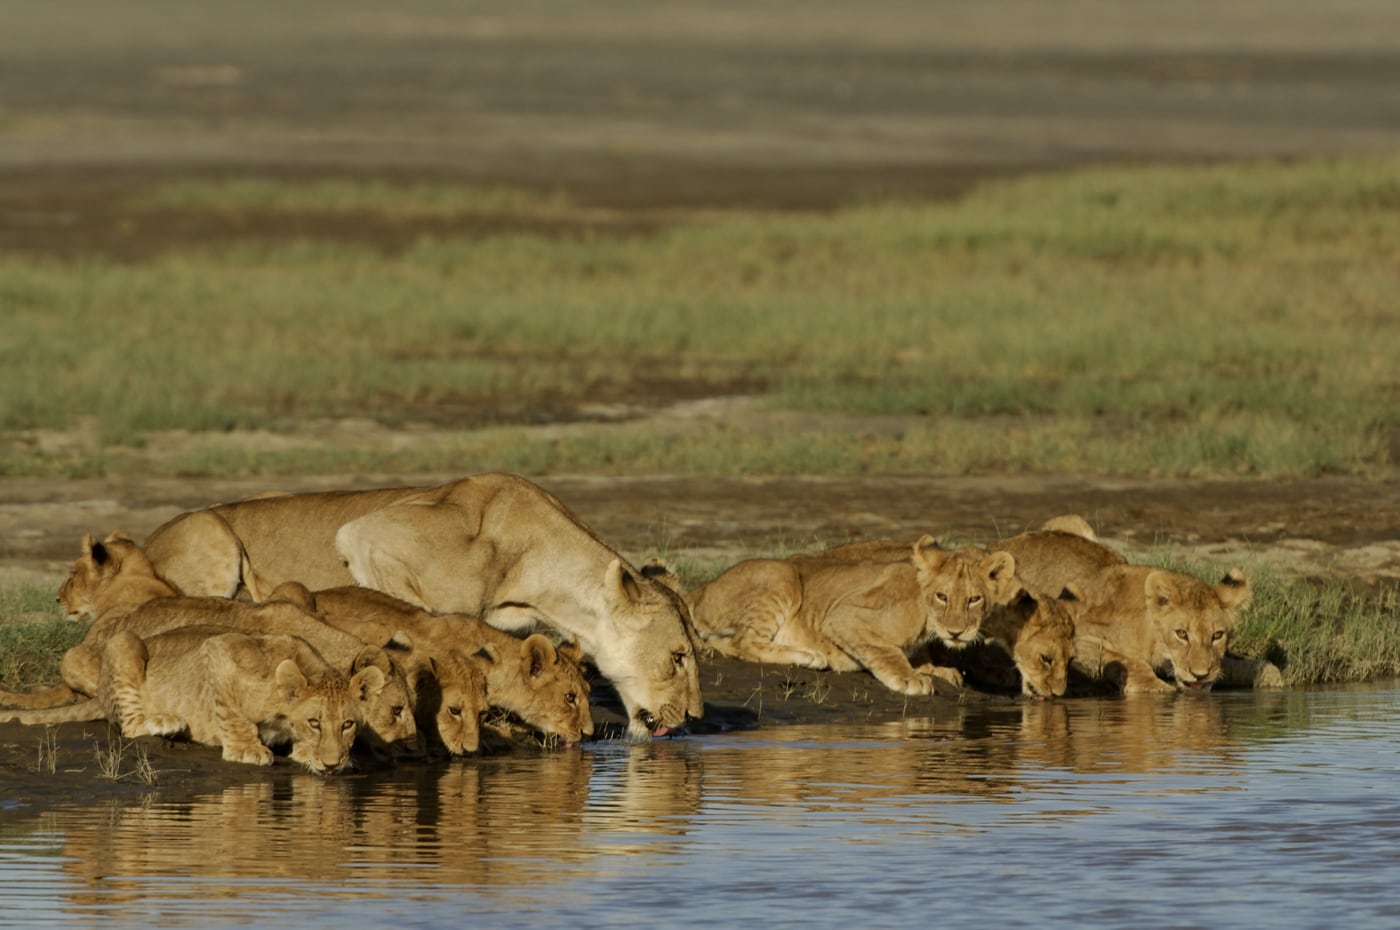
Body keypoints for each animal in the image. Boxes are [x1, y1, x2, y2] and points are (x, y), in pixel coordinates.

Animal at [6, 627, 385, 773]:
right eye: (314, 722)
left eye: (348, 724)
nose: (333, 764)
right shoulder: (218, 650)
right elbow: (233, 714)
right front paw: (248, 749)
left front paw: (311, 754)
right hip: (125, 643)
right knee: (129, 725)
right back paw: (167, 722)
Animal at [685, 538, 1020, 695]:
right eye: (943, 596)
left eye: (975, 599)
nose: (956, 632)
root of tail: (701, 588)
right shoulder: (843, 615)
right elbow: (886, 650)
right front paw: (910, 678)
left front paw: (938, 669)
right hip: (781, 573)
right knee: (742, 643)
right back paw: (809, 656)